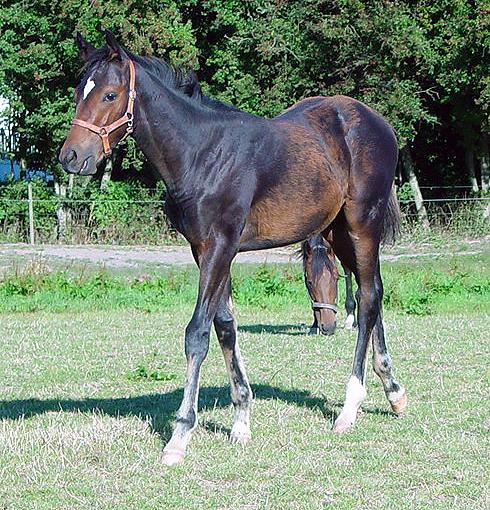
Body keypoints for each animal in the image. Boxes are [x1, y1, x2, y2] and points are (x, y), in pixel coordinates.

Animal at [59, 31, 408, 466]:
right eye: (79, 91)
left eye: (110, 94)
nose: (72, 157)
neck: (202, 153)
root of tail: (382, 125)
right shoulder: (203, 249)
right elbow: (225, 326)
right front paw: (241, 419)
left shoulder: (220, 246)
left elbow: (197, 333)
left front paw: (179, 435)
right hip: (338, 232)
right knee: (370, 292)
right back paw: (393, 393)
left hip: (363, 225)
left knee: (369, 297)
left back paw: (350, 406)